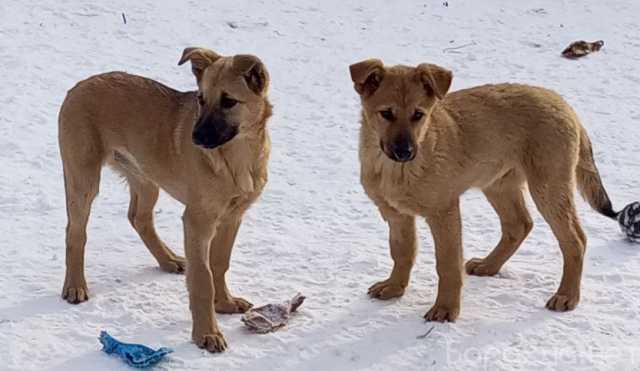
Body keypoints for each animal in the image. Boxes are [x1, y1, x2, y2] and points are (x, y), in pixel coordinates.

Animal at [61, 47, 276, 354]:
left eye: (229, 102)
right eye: (200, 99)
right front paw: (207, 333)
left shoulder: (232, 218)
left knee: (138, 218)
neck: (236, 157)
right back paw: (75, 286)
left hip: (146, 178)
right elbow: (203, 278)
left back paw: (168, 260)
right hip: (83, 179)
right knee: (75, 232)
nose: (195, 138)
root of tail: (80, 85)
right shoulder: (197, 222)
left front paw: (224, 303)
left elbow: (219, 264)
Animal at [352, 58, 624, 322]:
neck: (394, 170)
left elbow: (447, 265)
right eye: (386, 113)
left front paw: (446, 310)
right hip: (498, 184)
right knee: (519, 225)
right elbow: (402, 253)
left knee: (575, 240)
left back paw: (567, 296)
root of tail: (563, 103)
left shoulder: (443, 212)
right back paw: (489, 266)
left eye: (418, 115)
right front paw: (394, 287)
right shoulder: (396, 215)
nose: (405, 152)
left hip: (548, 186)